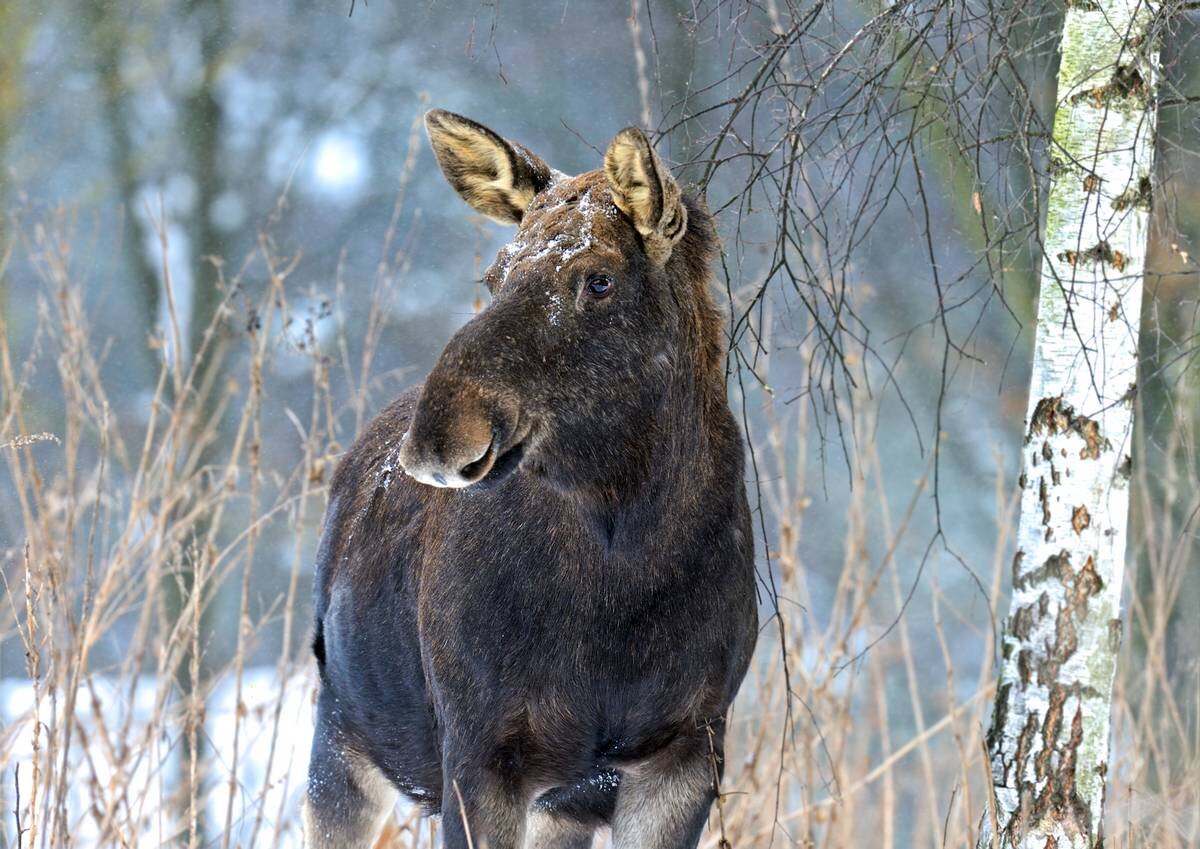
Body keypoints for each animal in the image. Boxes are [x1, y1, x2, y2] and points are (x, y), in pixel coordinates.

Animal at [309, 112, 758, 849]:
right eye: (495, 273)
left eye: (599, 278)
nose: (440, 433)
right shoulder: (479, 750)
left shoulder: (687, 746)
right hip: (340, 737)